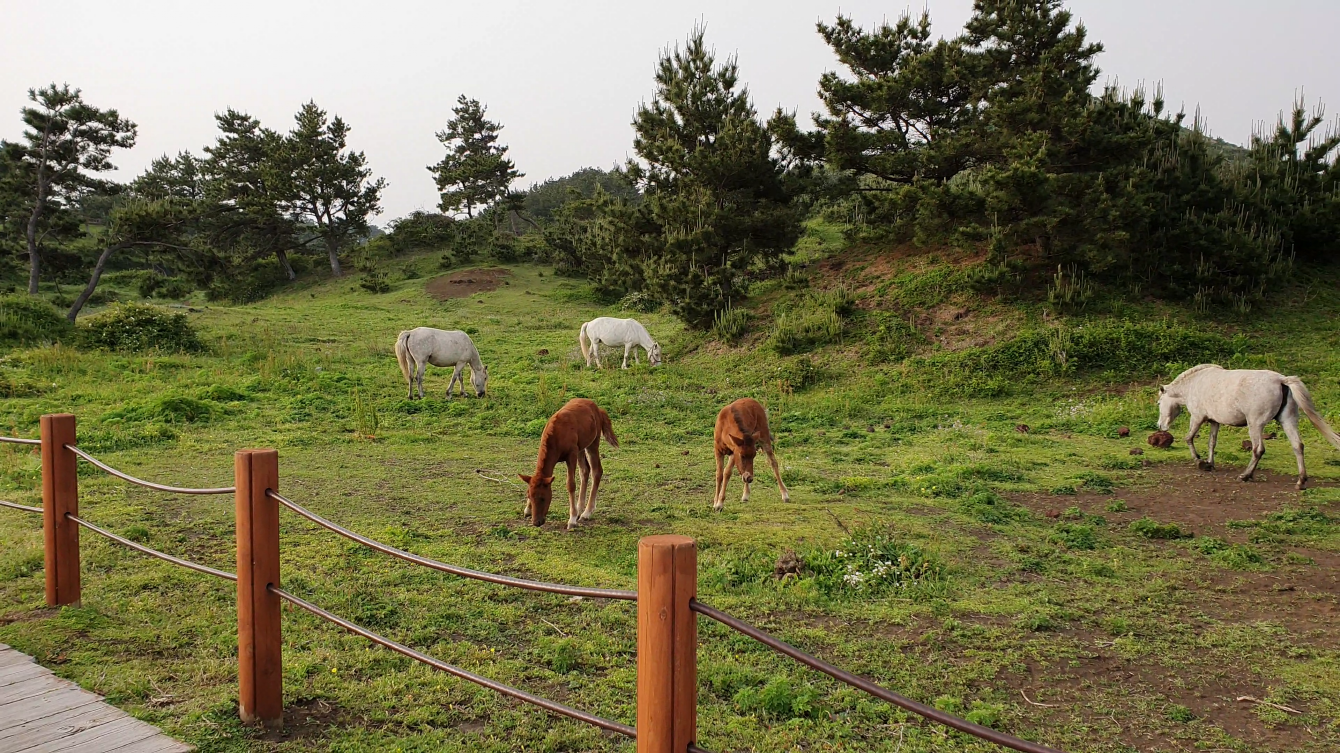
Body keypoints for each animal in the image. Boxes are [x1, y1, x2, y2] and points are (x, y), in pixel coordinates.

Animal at [519, 399, 619, 527]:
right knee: (585, 471)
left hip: (592, 444)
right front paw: (527, 510)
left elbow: (570, 484)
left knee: (596, 471)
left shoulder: (571, 456)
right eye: (529, 496)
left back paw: (586, 512)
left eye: (543, 498)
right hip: (581, 448)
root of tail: (598, 409)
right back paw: (579, 508)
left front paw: (572, 519)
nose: (537, 522)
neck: (557, 433)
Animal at [1152, 361, 1340, 487]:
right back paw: (1301, 481)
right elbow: (1212, 443)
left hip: (1255, 425)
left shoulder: (1197, 418)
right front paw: (1210, 463)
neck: (1195, 383)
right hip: (1288, 421)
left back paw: (1245, 475)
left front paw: (1199, 461)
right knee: (1298, 446)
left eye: (1160, 403)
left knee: (1258, 450)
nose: (1160, 426)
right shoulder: (1214, 422)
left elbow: (1189, 438)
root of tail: (1281, 380)